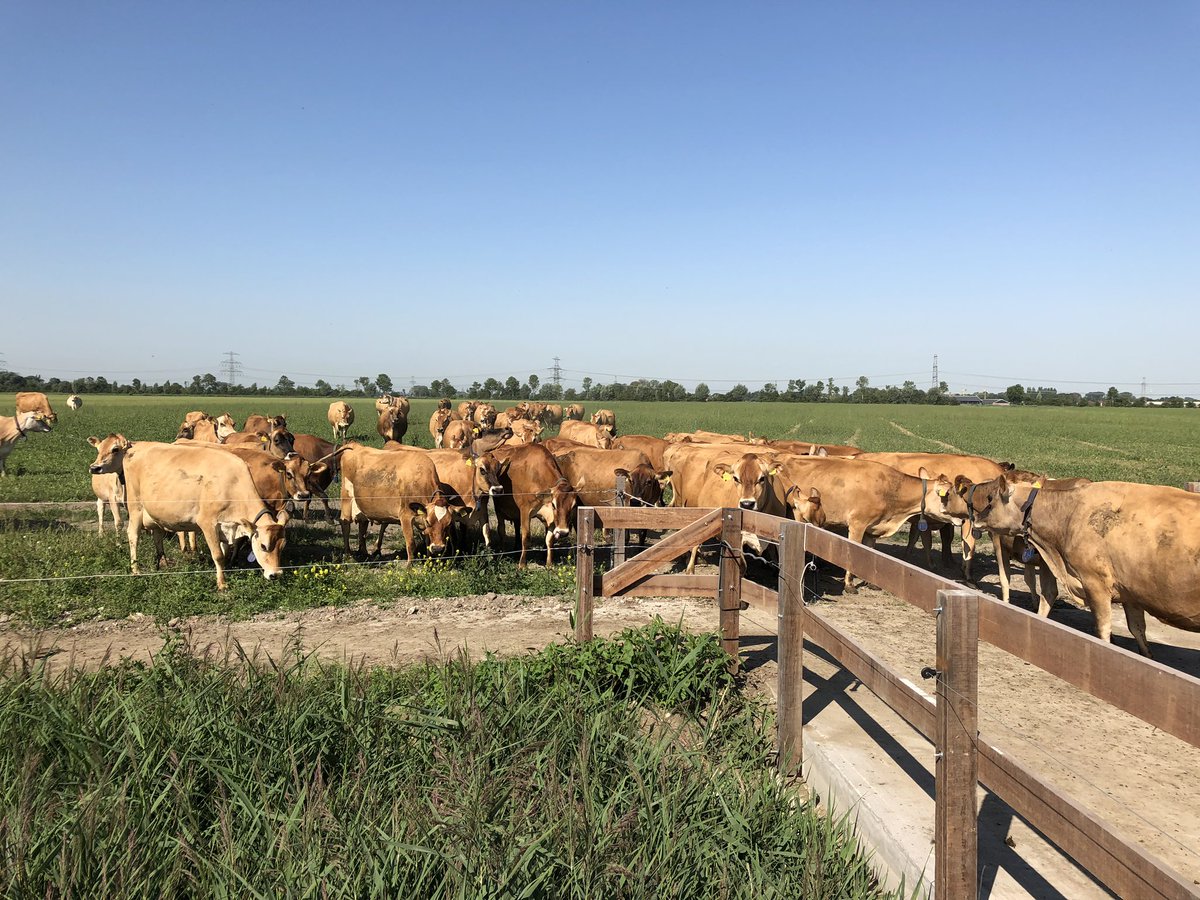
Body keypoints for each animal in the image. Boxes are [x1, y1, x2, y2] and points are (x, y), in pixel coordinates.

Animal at [87, 435, 286, 590]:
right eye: (263, 546)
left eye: (282, 547)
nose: (276, 574)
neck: (232, 483)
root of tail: (135, 448)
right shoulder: (208, 523)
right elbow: (218, 555)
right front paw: (222, 584)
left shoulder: (227, 526)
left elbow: (226, 551)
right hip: (135, 508)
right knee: (133, 536)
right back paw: (136, 570)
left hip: (155, 513)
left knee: (157, 536)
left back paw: (163, 563)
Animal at [963, 472, 1200, 657]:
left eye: (992, 499)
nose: (977, 519)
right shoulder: (1130, 591)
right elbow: (1137, 629)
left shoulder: (1095, 583)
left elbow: (1103, 630)